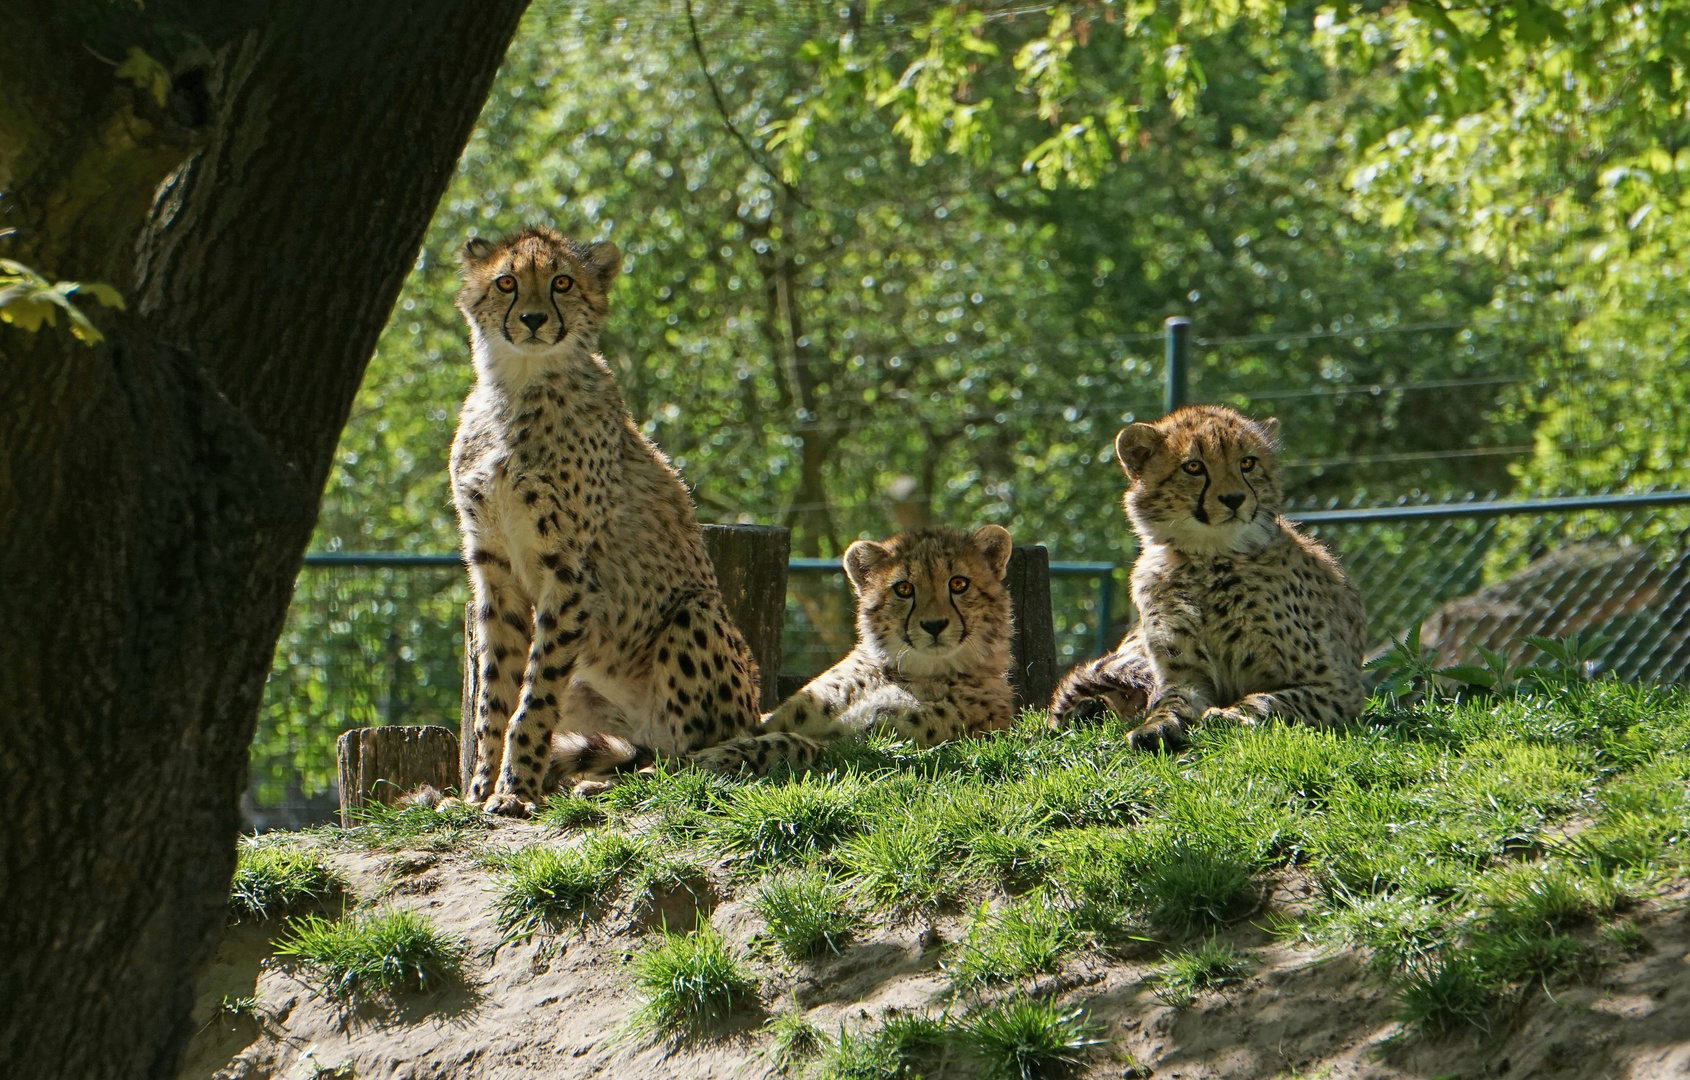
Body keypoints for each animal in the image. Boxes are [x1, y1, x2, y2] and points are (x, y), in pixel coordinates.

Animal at [449, 229, 817, 818]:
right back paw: (601, 779)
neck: (517, 383)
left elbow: (534, 695)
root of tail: (755, 711)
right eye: (506, 283)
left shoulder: (569, 571)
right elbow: (495, 693)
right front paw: (478, 791)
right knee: (645, 750)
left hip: (694, 615)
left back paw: (628, 782)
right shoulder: (493, 568)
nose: (532, 318)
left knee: (691, 759)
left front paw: (515, 792)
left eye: (561, 282)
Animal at [692, 523, 1020, 770]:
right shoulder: (775, 720)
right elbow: (762, 731)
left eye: (958, 584)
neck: (908, 671)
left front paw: (712, 758)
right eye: (904, 589)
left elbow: (793, 743)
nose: (935, 624)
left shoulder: (865, 748)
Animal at [1047, 405, 1365, 750]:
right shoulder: (1185, 676)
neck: (1210, 559)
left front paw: (1231, 715)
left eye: (1248, 463)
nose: (1234, 498)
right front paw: (1156, 726)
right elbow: (1170, 702)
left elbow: (1271, 699)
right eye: (1194, 466)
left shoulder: (1337, 687)